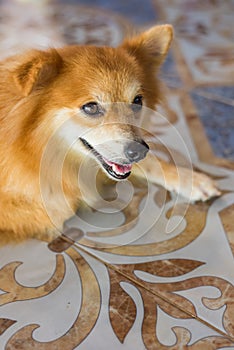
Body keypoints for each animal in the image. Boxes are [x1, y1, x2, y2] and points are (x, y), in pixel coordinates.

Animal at [0, 25, 219, 243]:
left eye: (137, 101)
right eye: (90, 107)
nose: (138, 151)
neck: (32, 147)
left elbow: (151, 163)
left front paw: (191, 179)